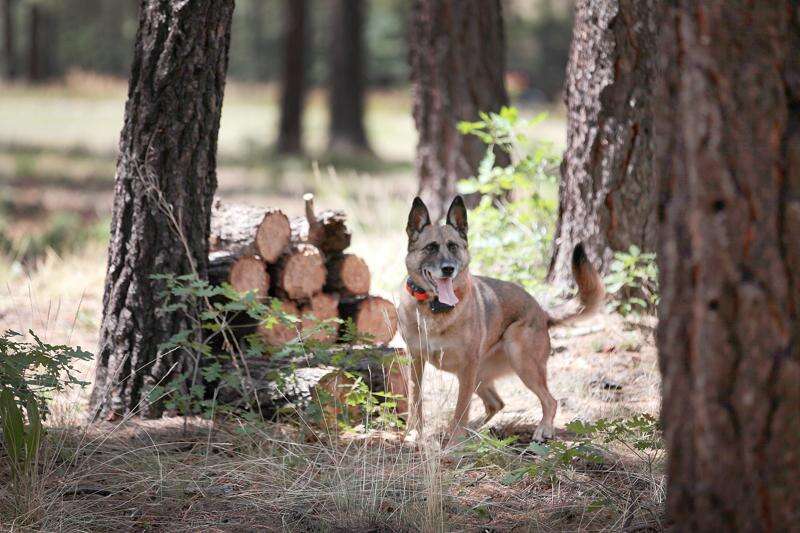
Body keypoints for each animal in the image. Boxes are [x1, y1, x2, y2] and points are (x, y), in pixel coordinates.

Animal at [396, 195, 604, 440]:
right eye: (430, 248)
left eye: (453, 247)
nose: (448, 269)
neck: (436, 309)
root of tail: (541, 310)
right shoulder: (416, 361)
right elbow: (415, 400)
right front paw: (413, 434)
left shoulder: (467, 367)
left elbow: (461, 407)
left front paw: (455, 441)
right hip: (481, 375)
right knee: (496, 404)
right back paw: (474, 430)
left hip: (520, 361)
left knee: (550, 401)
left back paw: (543, 429)